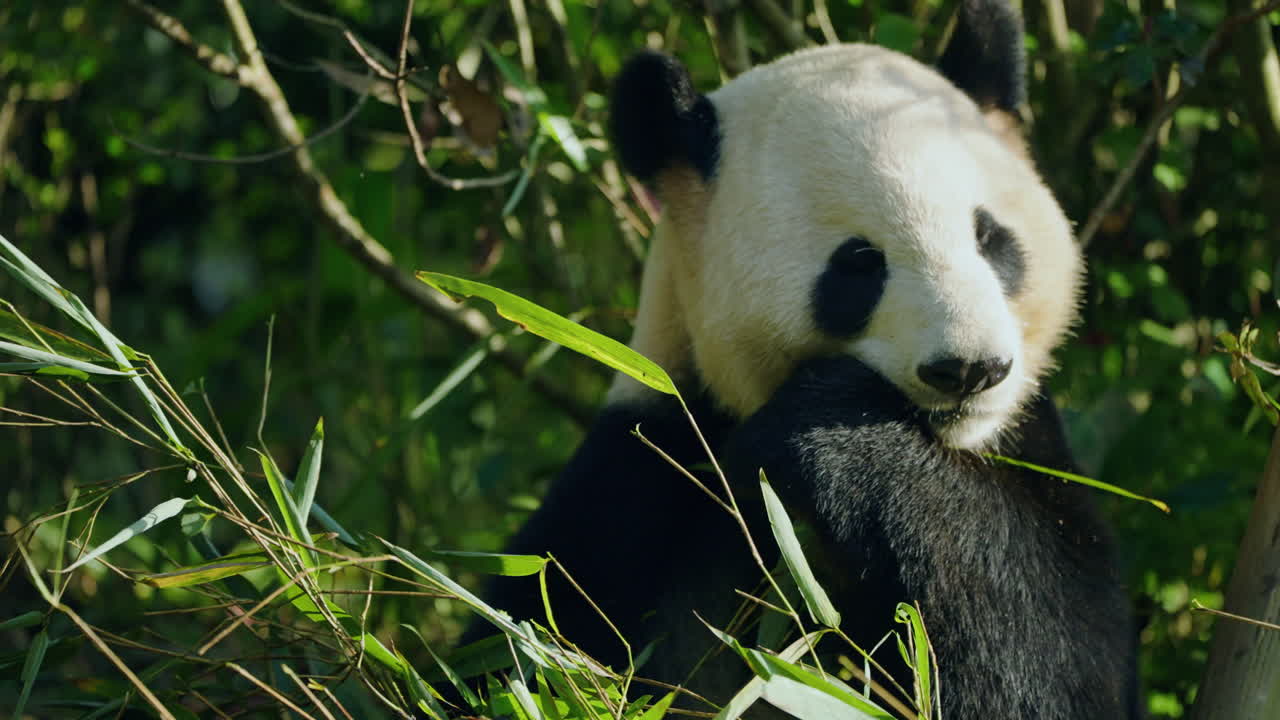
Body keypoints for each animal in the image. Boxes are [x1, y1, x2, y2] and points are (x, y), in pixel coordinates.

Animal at [464, 1, 1138, 717]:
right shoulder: (648, 483)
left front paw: (839, 444)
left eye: (990, 237)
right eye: (860, 263)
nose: (968, 370)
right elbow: (529, 642)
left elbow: (1052, 656)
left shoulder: (1033, 455)